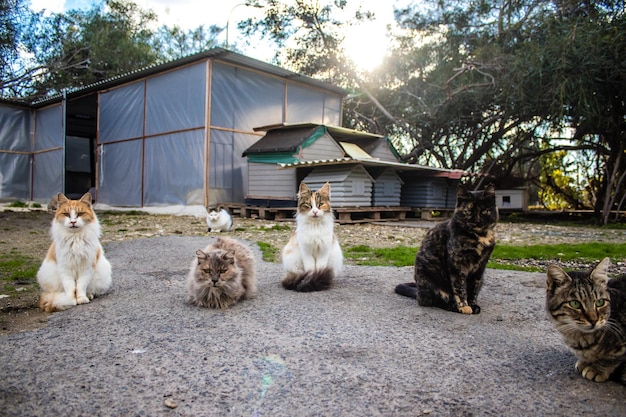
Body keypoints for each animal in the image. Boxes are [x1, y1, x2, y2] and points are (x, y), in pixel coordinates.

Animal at [394, 184, 498, 314]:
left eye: (484, 211)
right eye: (468, 212)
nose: (477, 221)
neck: (479, 237)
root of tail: (418, 292)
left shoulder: (480, 267)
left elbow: (473, 288)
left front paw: (473, 305)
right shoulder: (456, 264)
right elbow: (459, 287)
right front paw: (464, 306)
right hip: (429, 278)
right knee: (433, 301)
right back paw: (453, 306)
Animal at [544, 256, 620, 384]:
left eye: (600, 302)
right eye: (575, 304)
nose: (594, 320)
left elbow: (612, 357)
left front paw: (597, 369)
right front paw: (585, 362)